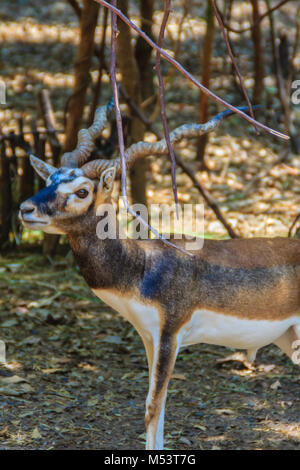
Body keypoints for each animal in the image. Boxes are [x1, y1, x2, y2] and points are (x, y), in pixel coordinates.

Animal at [19, 103, 298, 452]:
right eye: (50, 179)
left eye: (82, 191)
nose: (25, 209)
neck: (142, 266)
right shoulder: (148, 338)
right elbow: (159, 406)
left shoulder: (170, 335)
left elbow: (152, 406)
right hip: (288, 338)